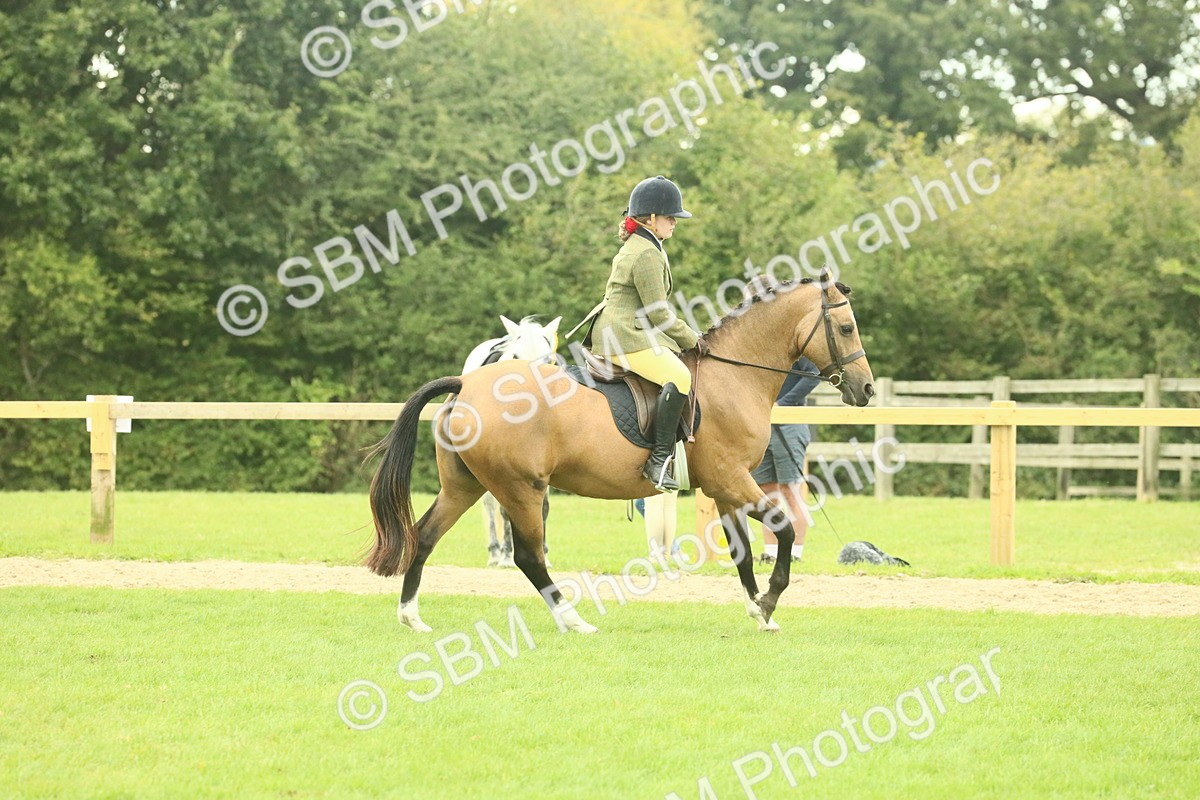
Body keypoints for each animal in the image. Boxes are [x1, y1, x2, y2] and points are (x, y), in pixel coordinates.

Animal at [461, 315, 560, 567]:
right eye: (515, 357)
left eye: (548, 360)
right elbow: (505, 510)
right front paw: (507, 554)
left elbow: (543, 509)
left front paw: (543, 554)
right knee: (489, 504)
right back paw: (496, 552)